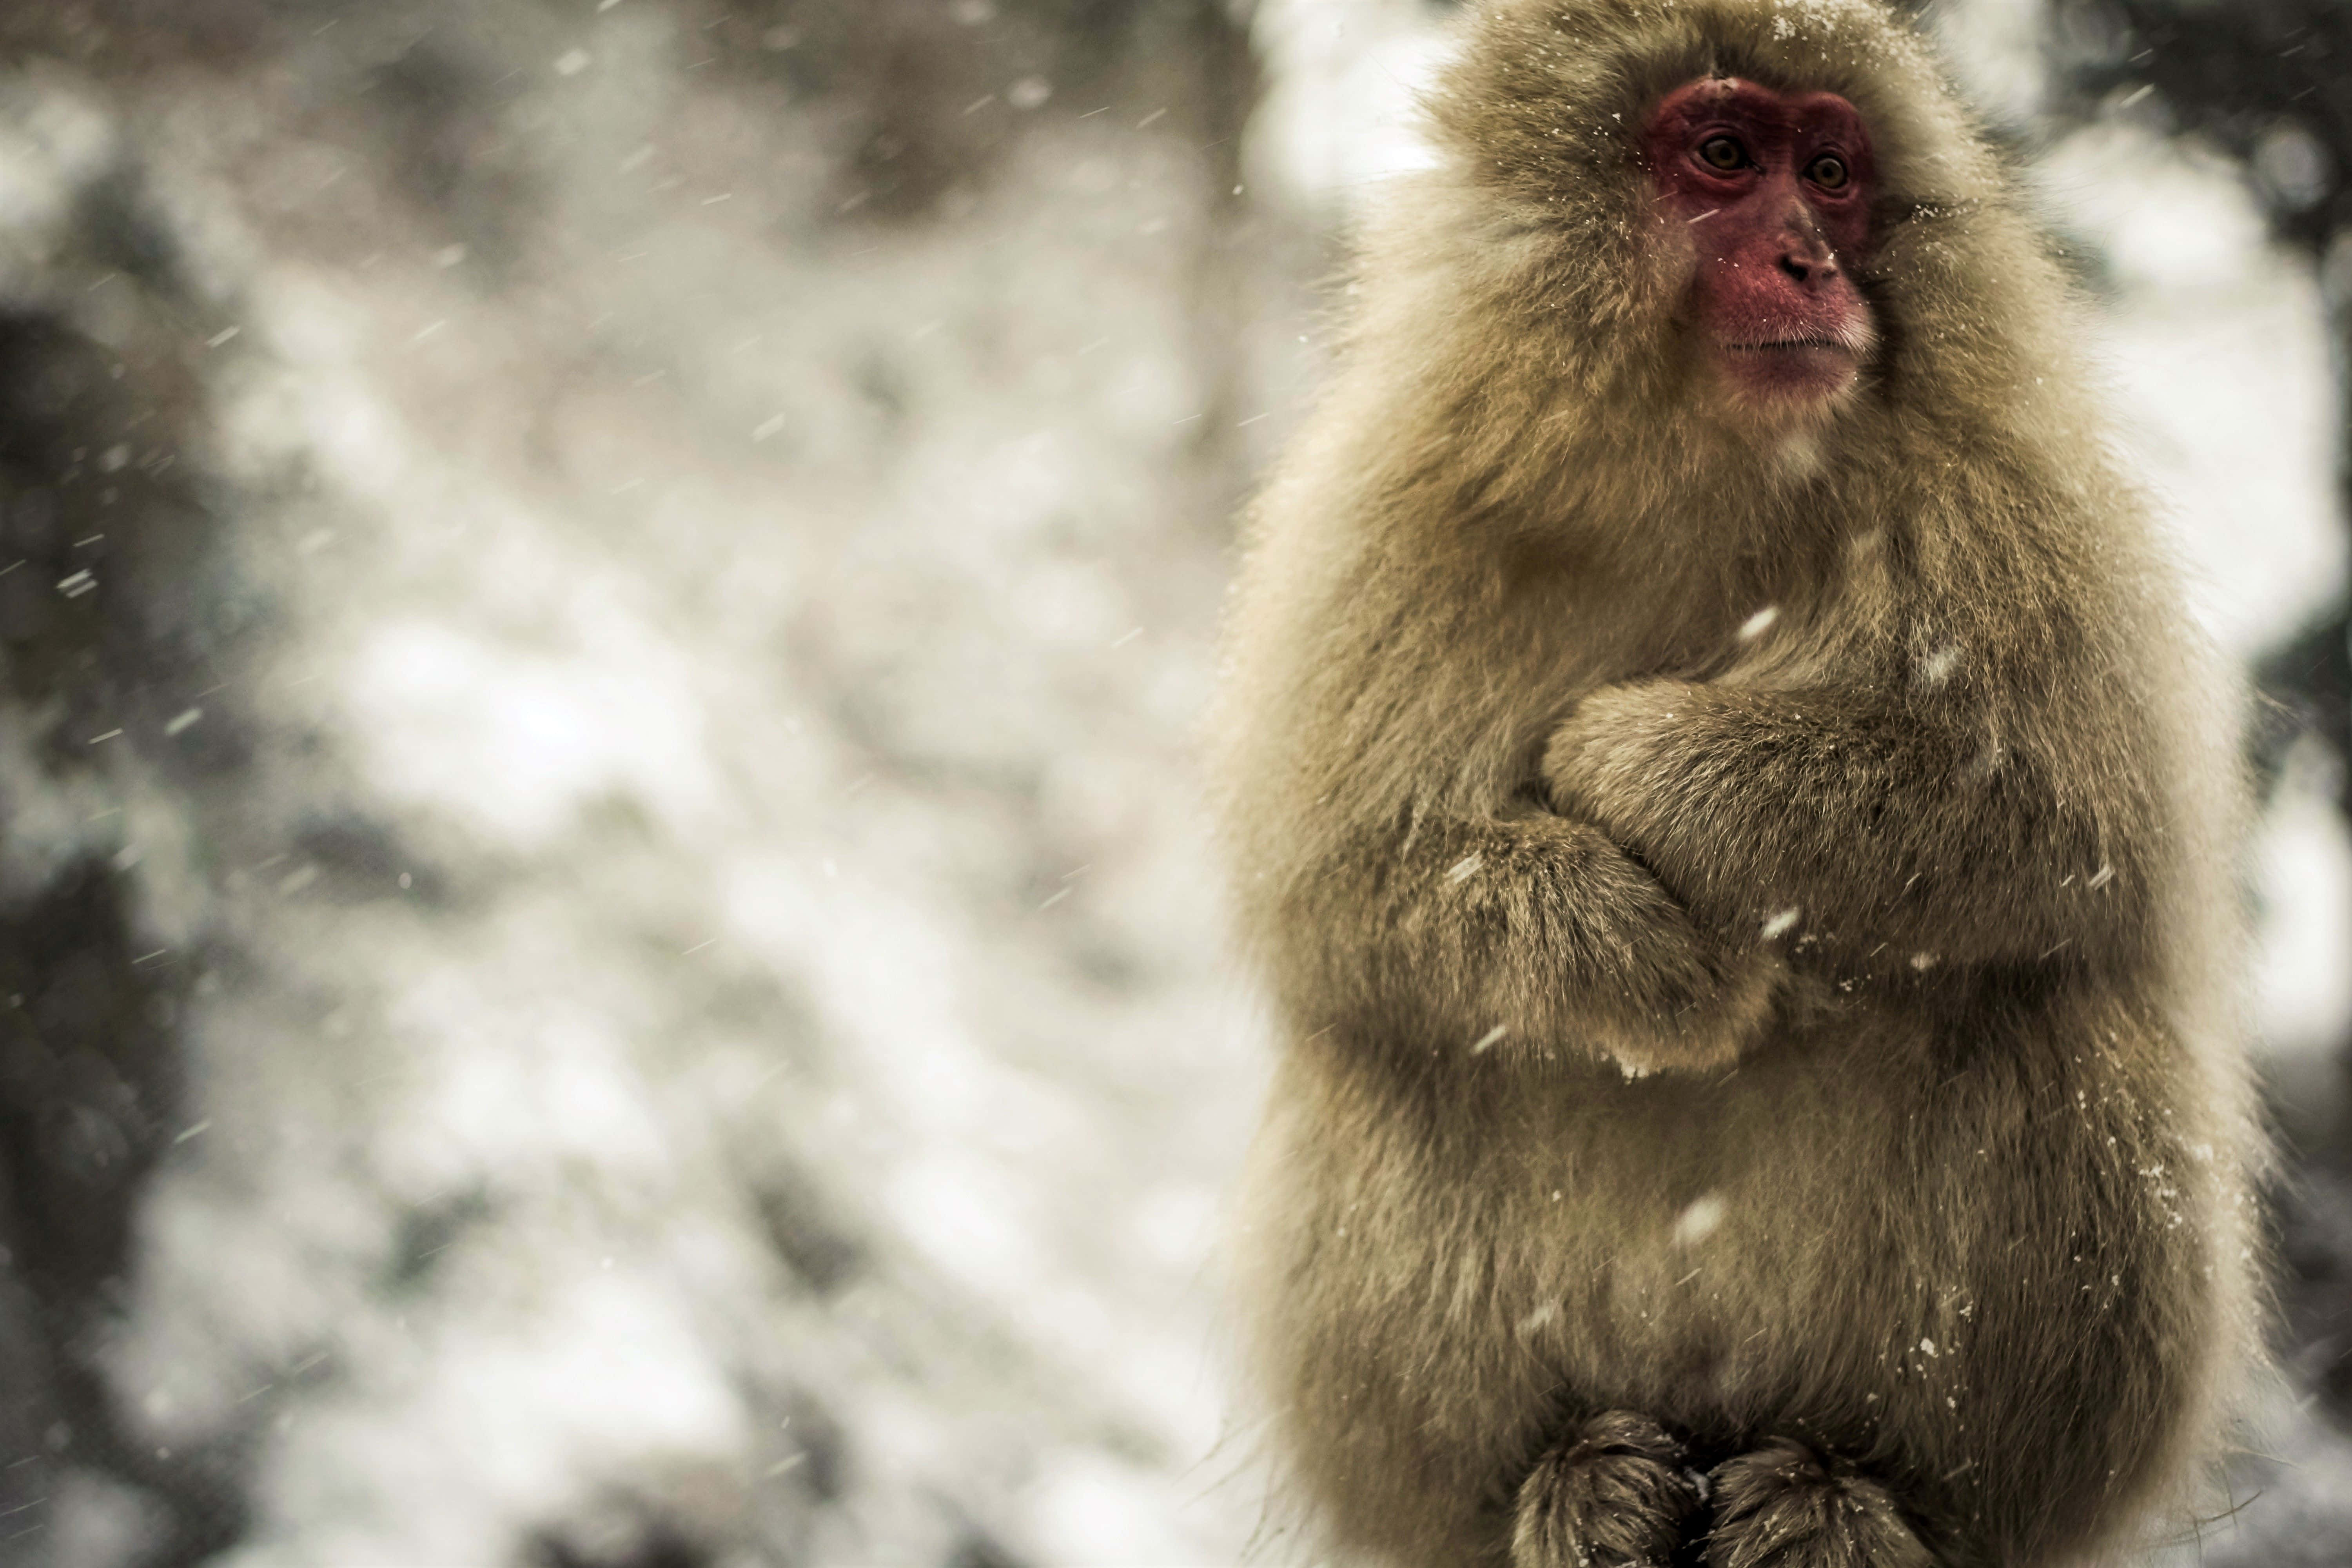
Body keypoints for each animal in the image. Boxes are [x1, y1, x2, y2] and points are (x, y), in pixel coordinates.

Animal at [1206, 3, 2268, 1566]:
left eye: (1827, 170)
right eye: (1721, 155)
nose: (1809, 260)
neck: (1701, 468)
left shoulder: (2008, 498)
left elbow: (2077, 826)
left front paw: (1638, 762)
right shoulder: (1388, 510)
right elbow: (1335, 883)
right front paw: (1651, 960)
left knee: (2056, 1014)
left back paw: (1857, 1494)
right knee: (1386, 1047)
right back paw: (1565, 1480)